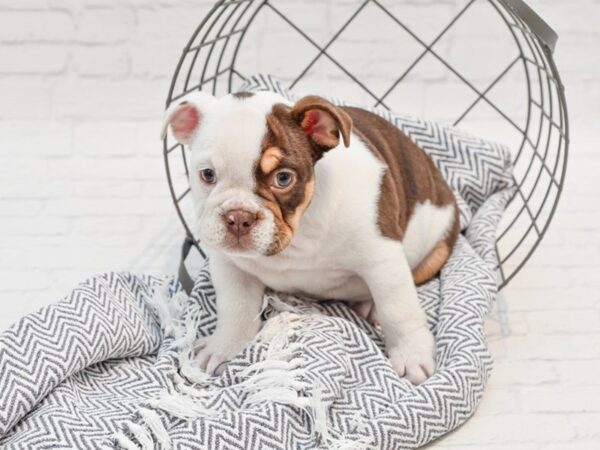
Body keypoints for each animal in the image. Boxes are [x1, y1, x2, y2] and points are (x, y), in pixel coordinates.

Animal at [162, 90, 458, 384]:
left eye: (283, 178)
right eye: (207, 175)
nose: (238, 216)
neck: (297, 234)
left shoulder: (382, 258)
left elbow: (398, 309)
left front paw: (411, 355)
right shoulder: (231, 266)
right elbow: (236, 307)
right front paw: (225, 347)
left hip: (437, 250)